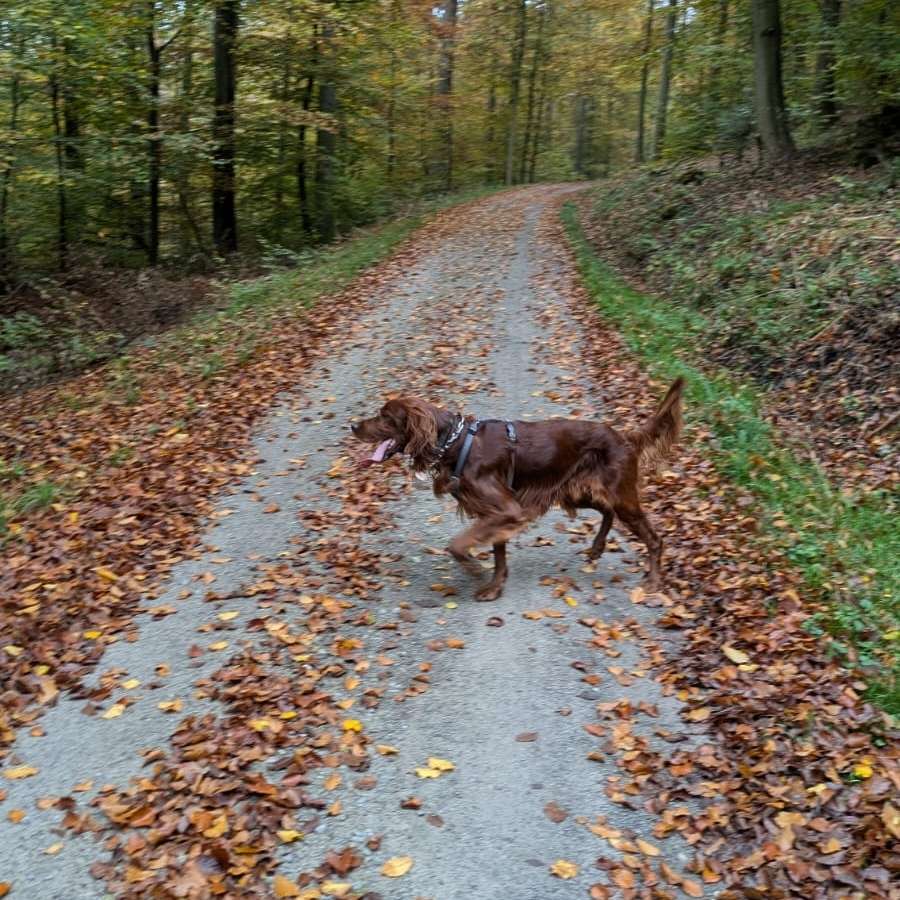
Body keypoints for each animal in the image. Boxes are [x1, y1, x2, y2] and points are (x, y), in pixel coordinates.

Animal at [350, 376, 684, 600]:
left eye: (385, 416)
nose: (353, 425)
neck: (456, 442)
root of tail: (623, 436)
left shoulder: (507, 509)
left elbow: (457, 544)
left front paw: (475, 570)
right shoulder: (497, 513)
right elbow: (497, 554)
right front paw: (494, 585)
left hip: (619, 495)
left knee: (654, 538)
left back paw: (653, 581)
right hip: (576, 491)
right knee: (606, 512)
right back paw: (597, 547)